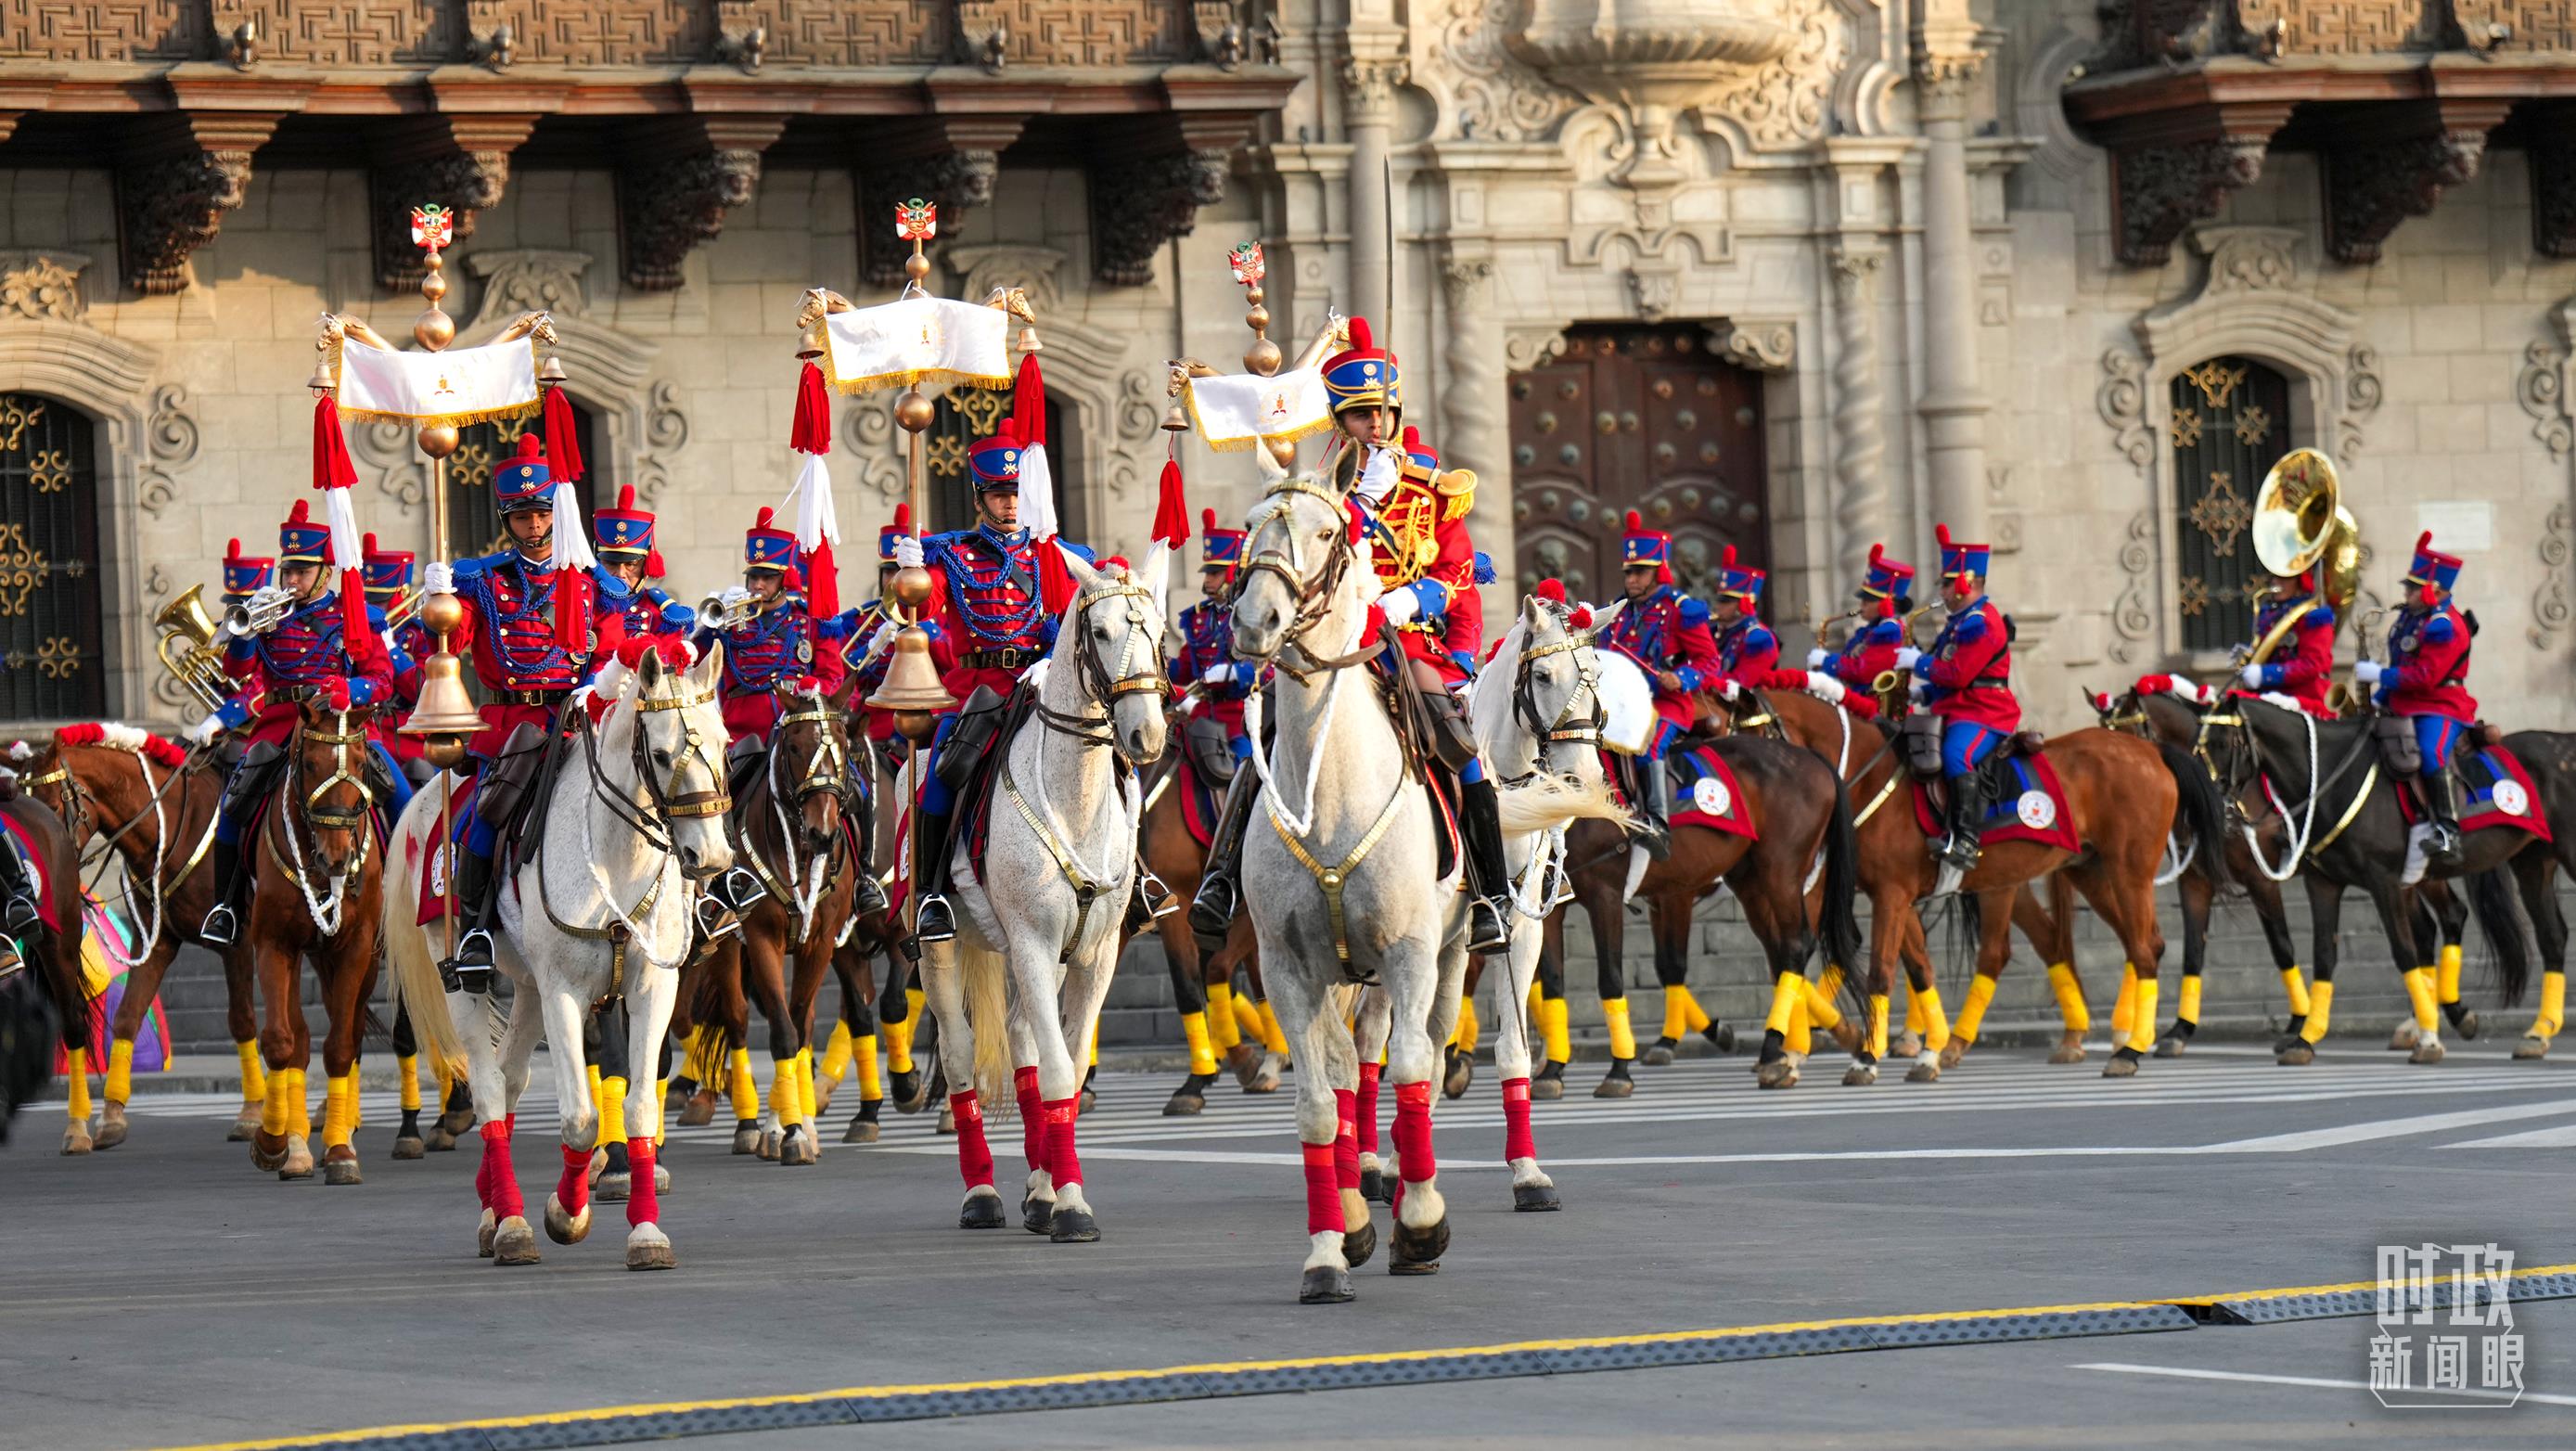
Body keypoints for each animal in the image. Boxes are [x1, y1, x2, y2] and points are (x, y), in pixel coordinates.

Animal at [17, 726, 261, 1149]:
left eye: (50, 807)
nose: (37, 879)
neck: (177, 824)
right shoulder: (156, 945)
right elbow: (128, 1016)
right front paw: (112, 1116)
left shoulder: (237, 943)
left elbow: (242, 1020)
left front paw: (250, 1115)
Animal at [391, 647, 737, 1273]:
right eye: (660, 753)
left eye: (724, 743)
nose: (712, 856)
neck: (616, 859)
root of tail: (430, 794)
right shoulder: (565, 995)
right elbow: (579, 1121)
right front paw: (565, 1214)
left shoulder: (652, 991)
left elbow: (639, 1109)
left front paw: (645, 1232)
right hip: (464, 980)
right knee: (487, 1086)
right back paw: (511, 1226)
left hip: (528, 990)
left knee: (509, 1082)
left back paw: (494, 1212)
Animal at [922, 546, 1174, 1237]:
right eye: (1101, 632)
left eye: (1158, 631)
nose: (1145, 737)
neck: (1074, 795)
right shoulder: (1033, 943)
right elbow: (1061, 1071)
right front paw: (1072, 1208)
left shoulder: (1093, 954)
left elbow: (1068, 1062)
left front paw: (1060, 1194)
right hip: (938, 948)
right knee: (959, 1054)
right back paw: (982, 1193)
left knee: (1020, 1042)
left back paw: (1036, 1189)